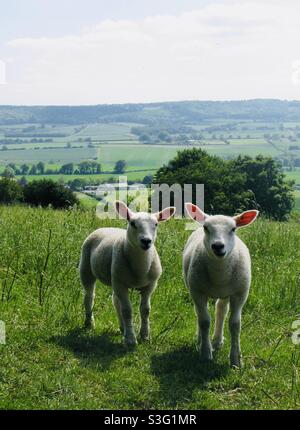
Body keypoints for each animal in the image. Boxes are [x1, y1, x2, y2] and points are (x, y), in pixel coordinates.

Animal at [79, 201, 176, 346]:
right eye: (133, 223)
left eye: (156, 224)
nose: (146, 241)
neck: (140, 269)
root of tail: (104, 227)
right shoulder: (121, 284)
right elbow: (127, 311)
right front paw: (130, 339)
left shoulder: (150, 285)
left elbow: (145, 310)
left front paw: (145, 336)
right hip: (87, 269)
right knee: (89, 297)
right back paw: (89, 323)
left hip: (115, 278)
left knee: (115, 301)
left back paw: (122, 327)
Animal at [183, 203, 258, 368]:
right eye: (206, 228)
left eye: (233, 229)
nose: (218, 246)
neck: (219, 275)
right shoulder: (197, 291)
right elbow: (204, 321)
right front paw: (205, 354)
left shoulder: (240, 294)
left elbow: (235, 324)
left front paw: (236, 360)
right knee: (201, 314)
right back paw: (202, 340)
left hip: (226, 293)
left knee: (221, 309)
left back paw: (217, 341)